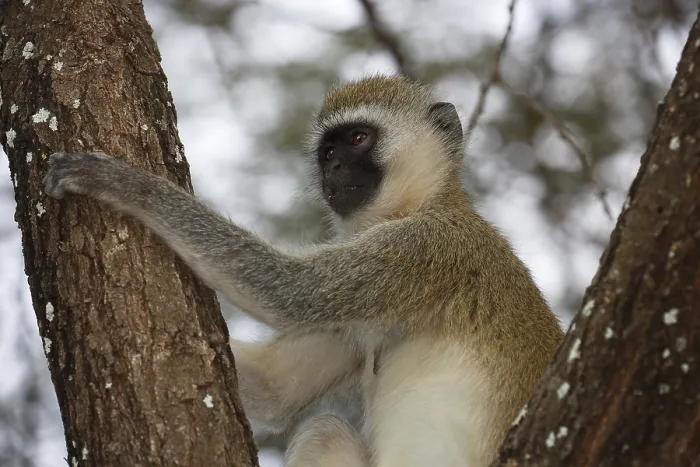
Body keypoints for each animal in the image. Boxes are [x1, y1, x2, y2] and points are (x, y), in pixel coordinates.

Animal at [43, 75, 564, 466]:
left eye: (357, 138)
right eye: (326, 153)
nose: (332, 170)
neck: (422, 205)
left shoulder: (427, 248)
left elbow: (292, 293)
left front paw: (127, 184)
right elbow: (277, 388)